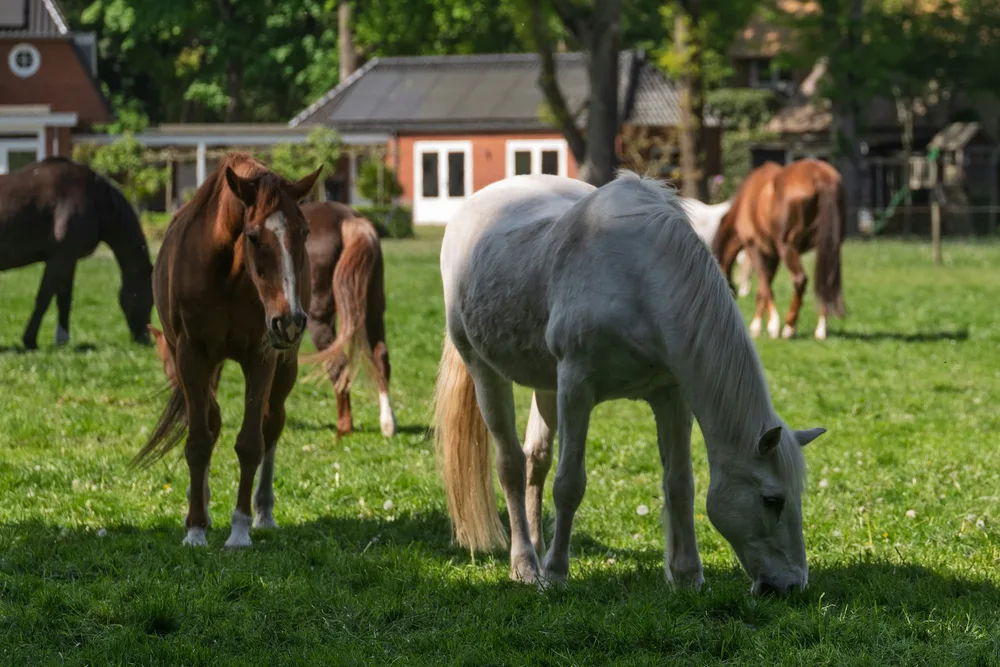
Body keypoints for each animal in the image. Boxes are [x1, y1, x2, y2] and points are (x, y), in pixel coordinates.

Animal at [0, 156, 153, 349]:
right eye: (149, 297)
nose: (145, 338)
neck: (93, 197)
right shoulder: (60, 257)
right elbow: (44, 298)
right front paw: (30, 340)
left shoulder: (69, 259)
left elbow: (64, 299)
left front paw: (62, 340)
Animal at [132, 152, 322, 549]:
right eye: (253, 236)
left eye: (304, 232)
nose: (291, 320)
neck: (228, 275)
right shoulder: (190, 356)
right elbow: (199, 440)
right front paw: (195, 528)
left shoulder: (262, 356)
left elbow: (251, 442)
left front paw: (240, 530)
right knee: (211, 420)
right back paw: (199, 503)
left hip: (286, 366)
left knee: (272, 423)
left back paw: (263, 512)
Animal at [299, 201, 397, 438]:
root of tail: (347, 220)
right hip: (373, 309)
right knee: (381, 355)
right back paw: (388, 424)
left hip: (319, 320)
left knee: (338, 364)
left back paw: (344, 427)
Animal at [433, 171, 826, 596]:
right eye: (772, 500)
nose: (791, 585)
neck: (640, 279)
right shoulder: (576, 386)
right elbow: (569, 483)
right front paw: (555, 575)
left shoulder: (671, 396)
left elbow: (680, 484)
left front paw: (687, 575)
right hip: (484, 370)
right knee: (511, 465)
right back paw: (525, 565)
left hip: (545, 384)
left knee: (536, 460)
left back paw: (536, 548)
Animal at [712, 159, 846, 340]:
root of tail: (820, 175)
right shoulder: (772, 255)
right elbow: (764, 287)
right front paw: (757, 326)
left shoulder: (754, 248)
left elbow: (764, 285)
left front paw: (770, 325)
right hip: (828, 247)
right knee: (825, 282)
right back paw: (820, 329)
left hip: (787, 247)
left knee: (800, 279)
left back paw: (789, 327)